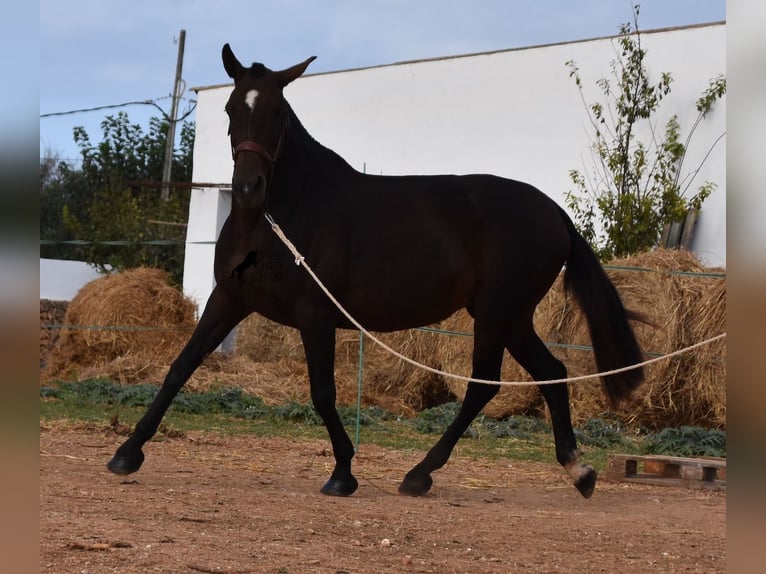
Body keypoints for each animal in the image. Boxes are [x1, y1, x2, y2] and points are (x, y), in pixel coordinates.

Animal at [106, 45, 648, 502]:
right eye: (231, 109)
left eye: (278, 112)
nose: (248, 188)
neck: (277, 218)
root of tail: (554, 212)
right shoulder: (228, 299)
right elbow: (179, 368)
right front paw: (127, 453)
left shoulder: (315, 314)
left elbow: (323, 393)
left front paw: (343, 473)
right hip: (510, 317)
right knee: (552, 373)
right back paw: (579, 472)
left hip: (498, 314)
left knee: (484, 386)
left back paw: (420, 473)